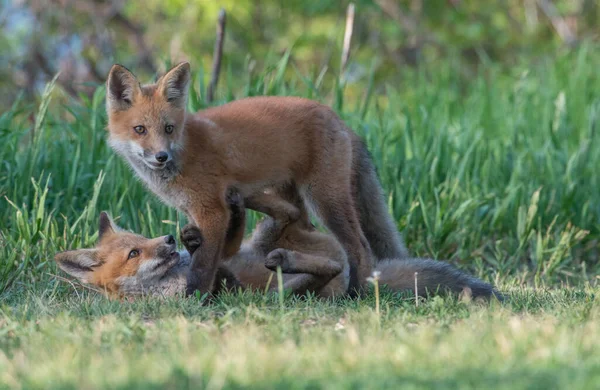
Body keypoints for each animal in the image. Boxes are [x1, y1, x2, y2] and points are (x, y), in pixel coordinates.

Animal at [106, 62, 408, 294]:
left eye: (168, 128)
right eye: (140, 129)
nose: (161, 157)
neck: (182, 151)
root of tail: (339, 118)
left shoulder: (211, 211)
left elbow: (203, 265)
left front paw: (195, 298)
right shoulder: (194, 211)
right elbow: (214, 253)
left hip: (325, 198)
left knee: (360, 246)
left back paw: (355, 293)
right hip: (290, 193)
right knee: (299, 223)